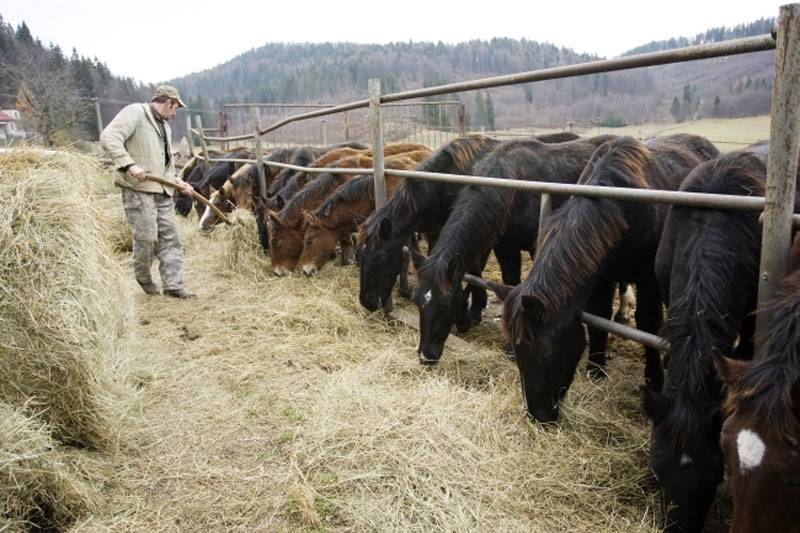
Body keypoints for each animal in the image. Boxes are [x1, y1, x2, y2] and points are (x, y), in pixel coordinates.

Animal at [412, 135, 612, 364]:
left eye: (446, 305)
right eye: (417, 301)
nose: (425, 356)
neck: (511, 188)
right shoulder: (504, 247)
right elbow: (510, 282)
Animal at [500, 134, 720, 424]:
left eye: (545, 354)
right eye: (517, 354)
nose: (539, 416)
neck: (621, 207)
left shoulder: (649, 280)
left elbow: (648, 323)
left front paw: (654, 380)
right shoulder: (601, 277)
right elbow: (598, 318)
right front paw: (595, 370)